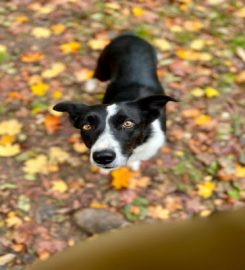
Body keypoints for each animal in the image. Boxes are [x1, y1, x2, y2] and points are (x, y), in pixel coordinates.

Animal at [53, 33, 176, 169]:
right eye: (87, 126)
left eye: (128, 123)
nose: (102, 157)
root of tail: (130, 35)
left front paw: (134, 164)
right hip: (104, 67)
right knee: (95, 75)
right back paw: (90, 85)